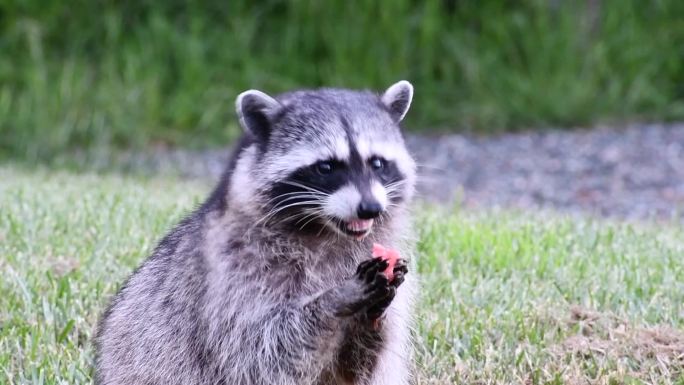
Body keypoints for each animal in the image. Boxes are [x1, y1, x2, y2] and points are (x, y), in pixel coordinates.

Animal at [94, 79, 416, 382]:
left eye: (377, 163)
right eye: (325, 167)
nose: (370, 208)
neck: (324, 229)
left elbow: (356, 367)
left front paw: (375, 312)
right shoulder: (235, 271)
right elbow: (261, 350)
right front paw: (334, 298)